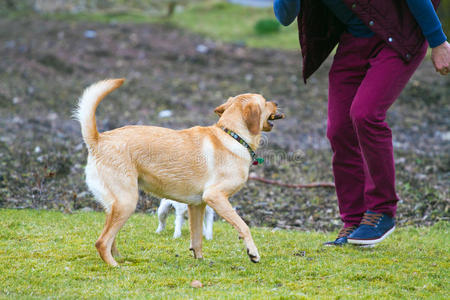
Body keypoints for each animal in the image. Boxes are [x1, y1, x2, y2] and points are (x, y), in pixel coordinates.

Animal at [75, 78, 284, 266]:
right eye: (265, 100)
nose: (276, 102)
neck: (232, 135)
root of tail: (98, 139)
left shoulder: (197, 205)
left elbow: (197, 238)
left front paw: (199, 260)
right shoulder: (215, 196)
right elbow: (244, 226)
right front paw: (253, 253)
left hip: (115, 205)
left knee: (109, 237)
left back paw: (117, 257)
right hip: (127, 202)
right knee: (101, 242)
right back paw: (114, 265)